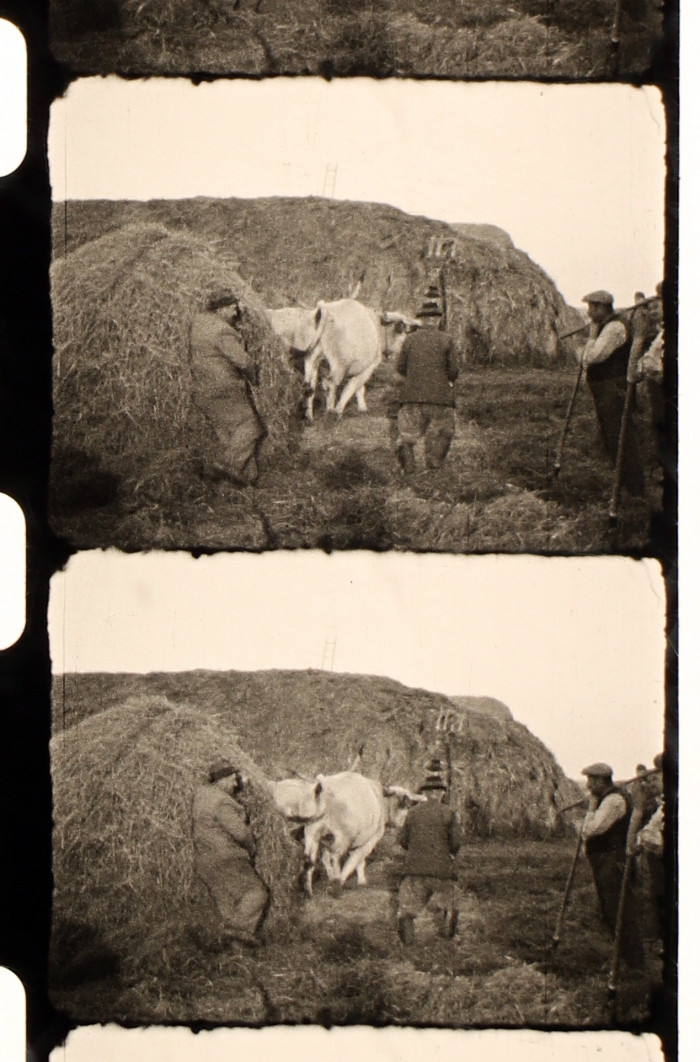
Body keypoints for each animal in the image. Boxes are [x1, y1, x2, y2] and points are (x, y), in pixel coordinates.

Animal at [265, 299, 418, 418]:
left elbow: (357, 388)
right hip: (339, 366)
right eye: (402, 332)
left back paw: (309, 416)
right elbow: (353, 387)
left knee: (310, 386)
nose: (398, 352)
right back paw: (331, 411)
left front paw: (360, 407)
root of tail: (326, 311)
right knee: (331, 384)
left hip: (312, 360)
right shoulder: (369, 367)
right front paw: (346, 408)